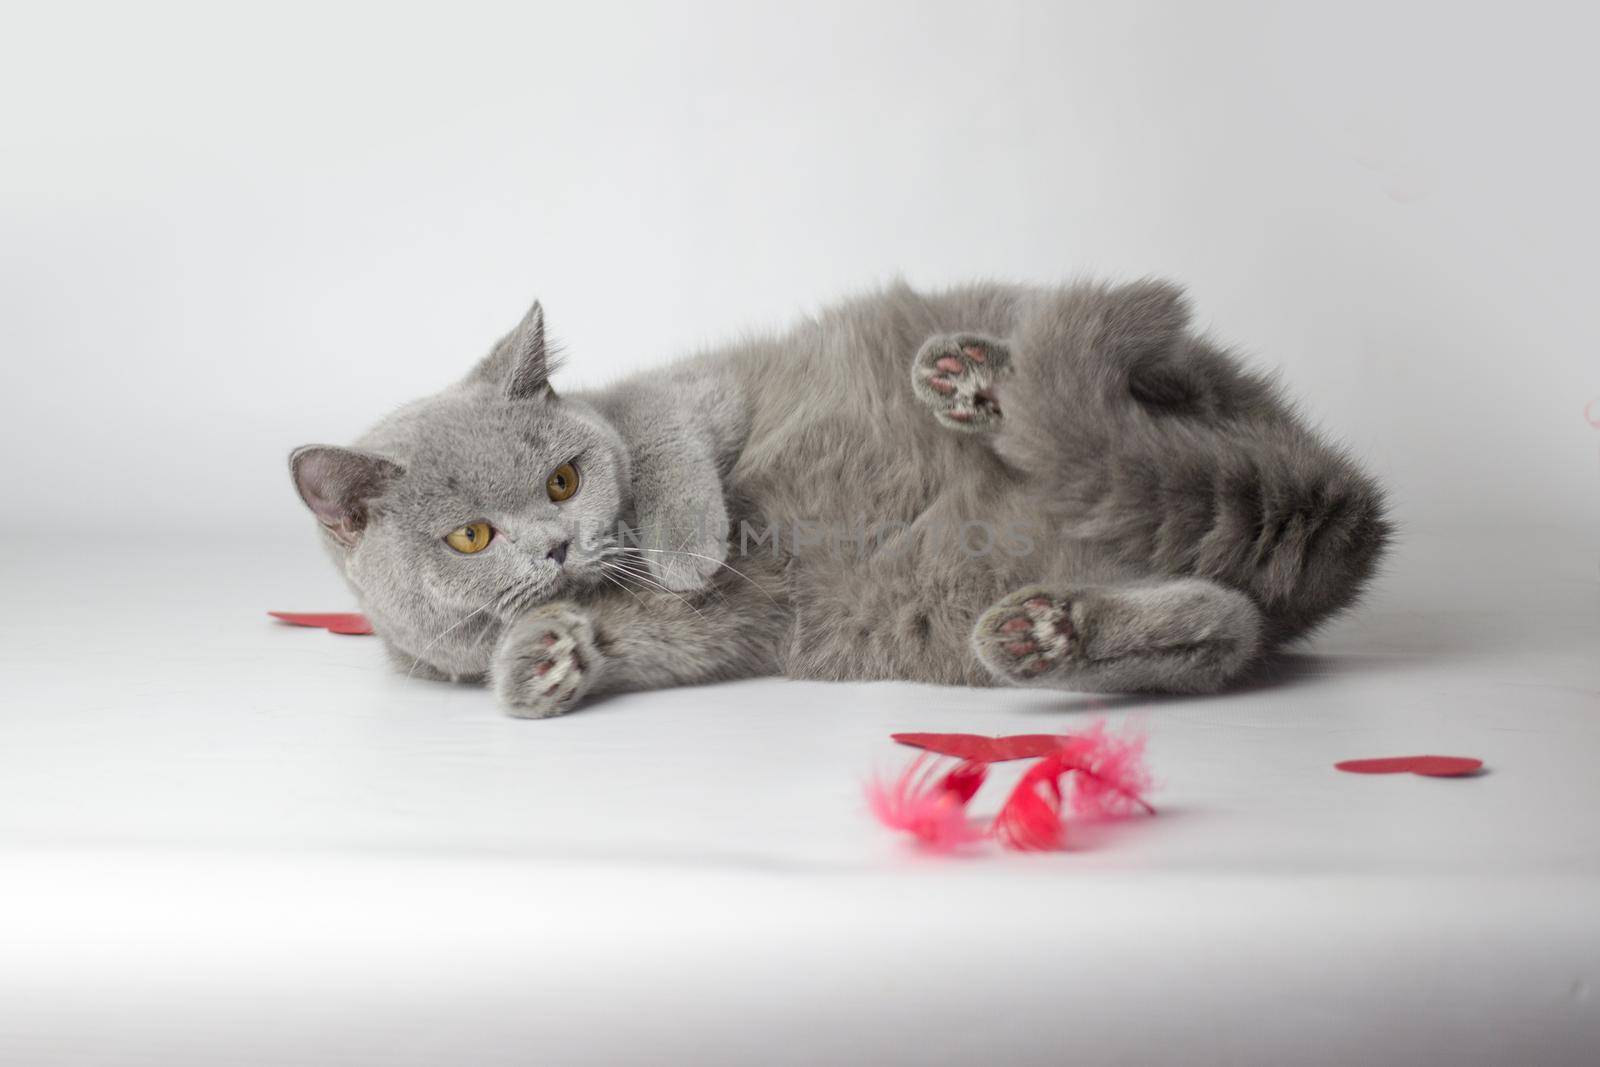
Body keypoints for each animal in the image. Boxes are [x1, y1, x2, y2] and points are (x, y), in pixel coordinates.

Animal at [294, 281, 1395, 716]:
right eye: (472, 536)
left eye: (564, 478)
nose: (556, 547)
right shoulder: (690, 640)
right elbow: (619, 642)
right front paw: (543, 659)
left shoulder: (691, 393)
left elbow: (662, 442)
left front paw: (684, 549)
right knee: (1226, 627)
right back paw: (1046, 632)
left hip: (1158, 383)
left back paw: (976, 380)